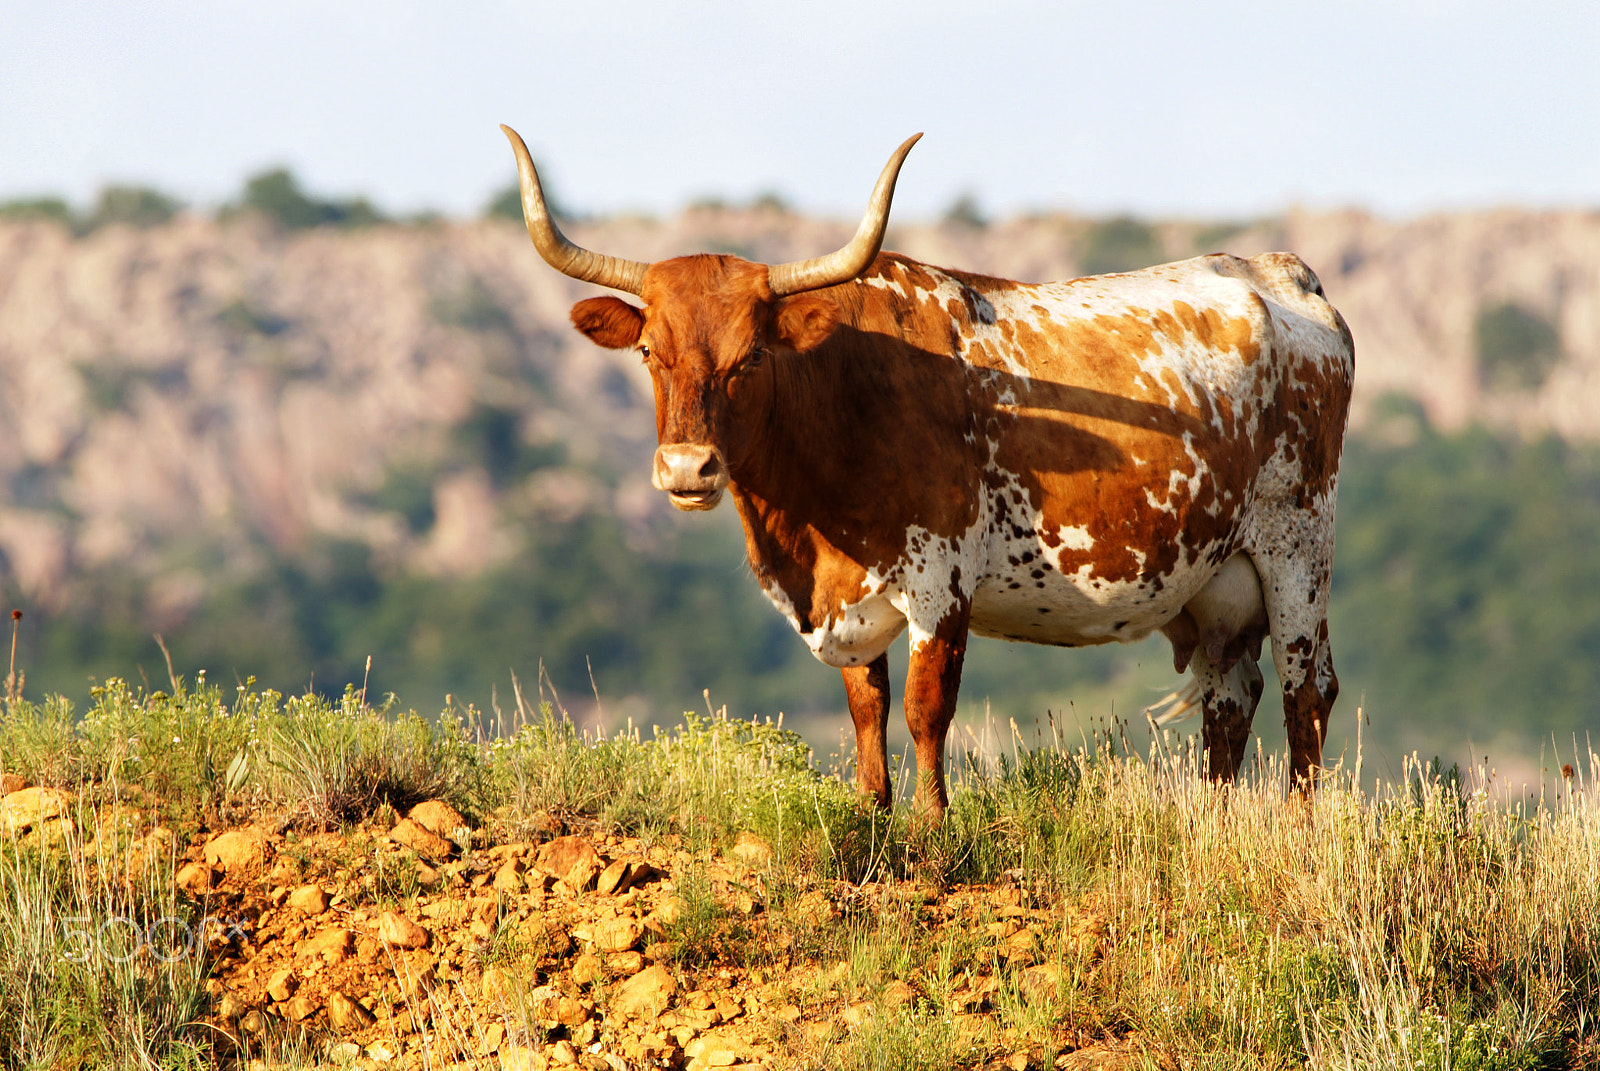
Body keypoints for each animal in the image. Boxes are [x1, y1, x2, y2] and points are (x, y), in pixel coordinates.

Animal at [499, 125, 1350, 819]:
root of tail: (1279, 273)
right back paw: (1217, 827)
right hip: (1218, 582)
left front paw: (932, 825)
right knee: (1231, 698)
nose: (687, 467)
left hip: (1298, 548)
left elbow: (924, 708)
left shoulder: (941, 580)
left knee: (1307, 691)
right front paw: (872, 813)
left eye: (751, 358)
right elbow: (867, 711)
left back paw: (1297, 837)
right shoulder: (848, 600)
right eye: (650, 352)